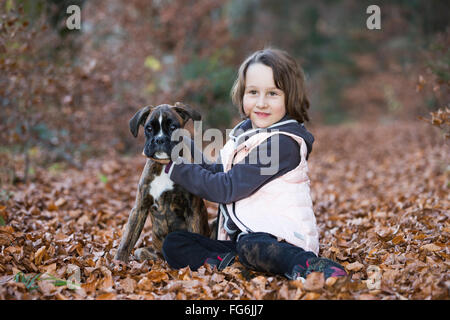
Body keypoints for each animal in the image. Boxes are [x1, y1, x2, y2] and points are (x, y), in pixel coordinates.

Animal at [114, 102, 209, 262]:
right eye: (149, 128)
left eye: (172, 127)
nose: (159, 140)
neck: (165, 166)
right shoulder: (140, 207)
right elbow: (128, 238)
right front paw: (118, 262)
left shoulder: (192, 209)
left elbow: (194, 233)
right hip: (147, 252)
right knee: (141, 252)